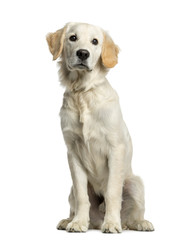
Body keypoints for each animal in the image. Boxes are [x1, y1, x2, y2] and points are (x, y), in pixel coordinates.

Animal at [46, 22, 154, 232]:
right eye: (72, 38)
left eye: (95, 41)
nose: (82, 53)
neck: (83, 93)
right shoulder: (73, 152)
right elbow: (82, 196)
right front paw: (78, 223)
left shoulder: (115, 149)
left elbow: (113, 192)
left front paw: (111, 223)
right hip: (71, 190)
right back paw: (69, 220)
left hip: (135, 182)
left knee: (132, 215)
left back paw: (139, 223)